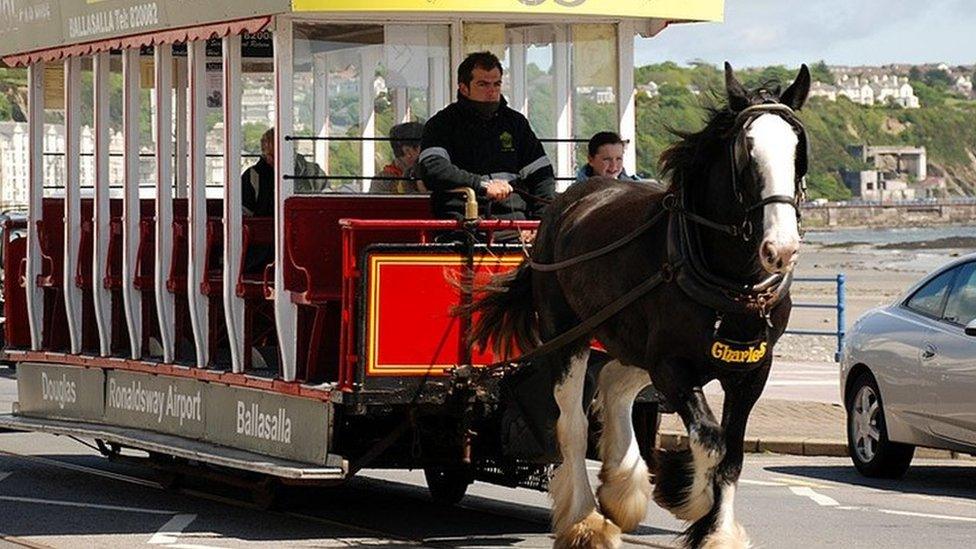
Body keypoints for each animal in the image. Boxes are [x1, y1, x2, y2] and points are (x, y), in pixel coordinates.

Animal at [468, 65, 812, 548]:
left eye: (798, 149)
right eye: (746, 152)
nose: (781, 249)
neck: (729, 279)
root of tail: (563, 204)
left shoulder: (751, 372)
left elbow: (732, 455)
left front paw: (715, 527)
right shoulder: (672, 366)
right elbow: (711, 440)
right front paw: (697, 504)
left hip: (627, 339)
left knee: (613, 382)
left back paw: (622, 488)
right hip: (568, 335)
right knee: (572, 424)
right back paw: (585, 518)